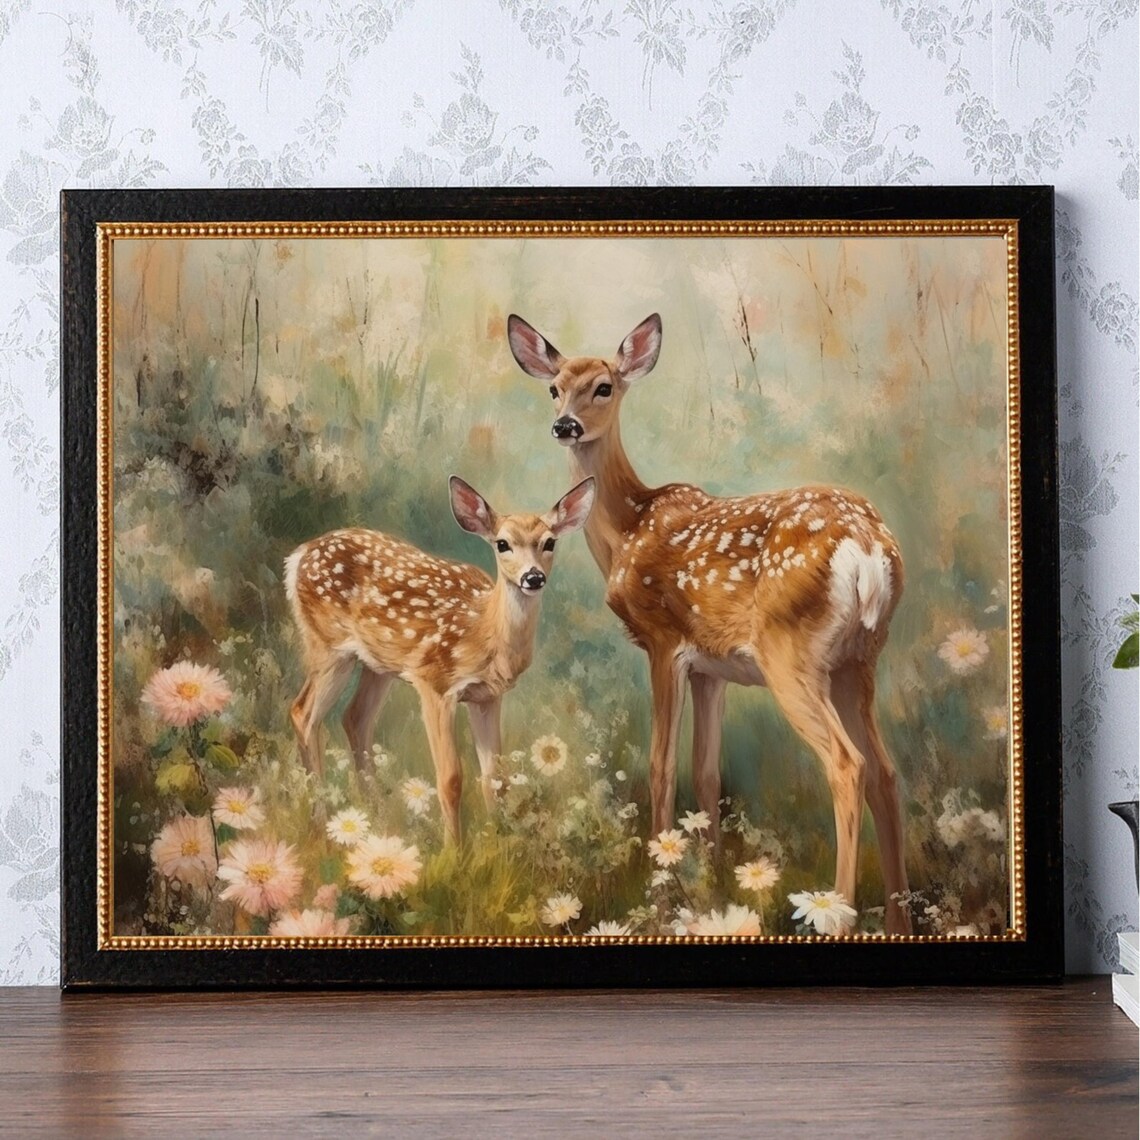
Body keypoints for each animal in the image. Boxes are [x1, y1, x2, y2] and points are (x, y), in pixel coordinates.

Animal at [284, 474, 596, 841]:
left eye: (549, 542)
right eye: (502, 544)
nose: (533, 577)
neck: (484, 633)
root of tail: (298, 555)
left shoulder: (487, 697)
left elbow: (495, 779)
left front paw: (500, 839)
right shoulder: (434, 683)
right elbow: (450, 779)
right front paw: (454, 849)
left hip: (379, 663)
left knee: (355, 718)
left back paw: (377, 814)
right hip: (329, 646)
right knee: (303, 713)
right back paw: (320, 822)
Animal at [508, 313, 912, 934]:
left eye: (603, 386)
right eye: (554, 387)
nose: (565, 426)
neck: (626, 529)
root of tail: (868, 548)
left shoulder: (663, 643)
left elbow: (661, 767)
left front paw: (661, 894)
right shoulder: (712, 668)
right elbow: (707, 772)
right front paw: (716, 886)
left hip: (792, 655)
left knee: (848, 765)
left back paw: (836, 915)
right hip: (861, 658)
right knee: (888, 774)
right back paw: (898, 919)